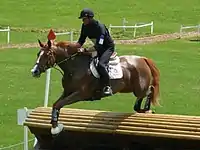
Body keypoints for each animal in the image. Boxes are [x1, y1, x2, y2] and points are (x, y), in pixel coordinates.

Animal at [30, 38, 160, 135]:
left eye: (47, 54)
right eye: (38, 54)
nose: (34, 71)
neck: (74, 68)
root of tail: (142, 59)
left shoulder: (80, 94)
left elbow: (59, 104)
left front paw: (56, 128)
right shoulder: (67, 92)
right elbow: (56, 105)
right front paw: (55, 125)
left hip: (139, 88)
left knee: (150, 90)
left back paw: (147, 110)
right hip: (129, 88)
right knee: (143, 97)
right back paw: (143, 110)